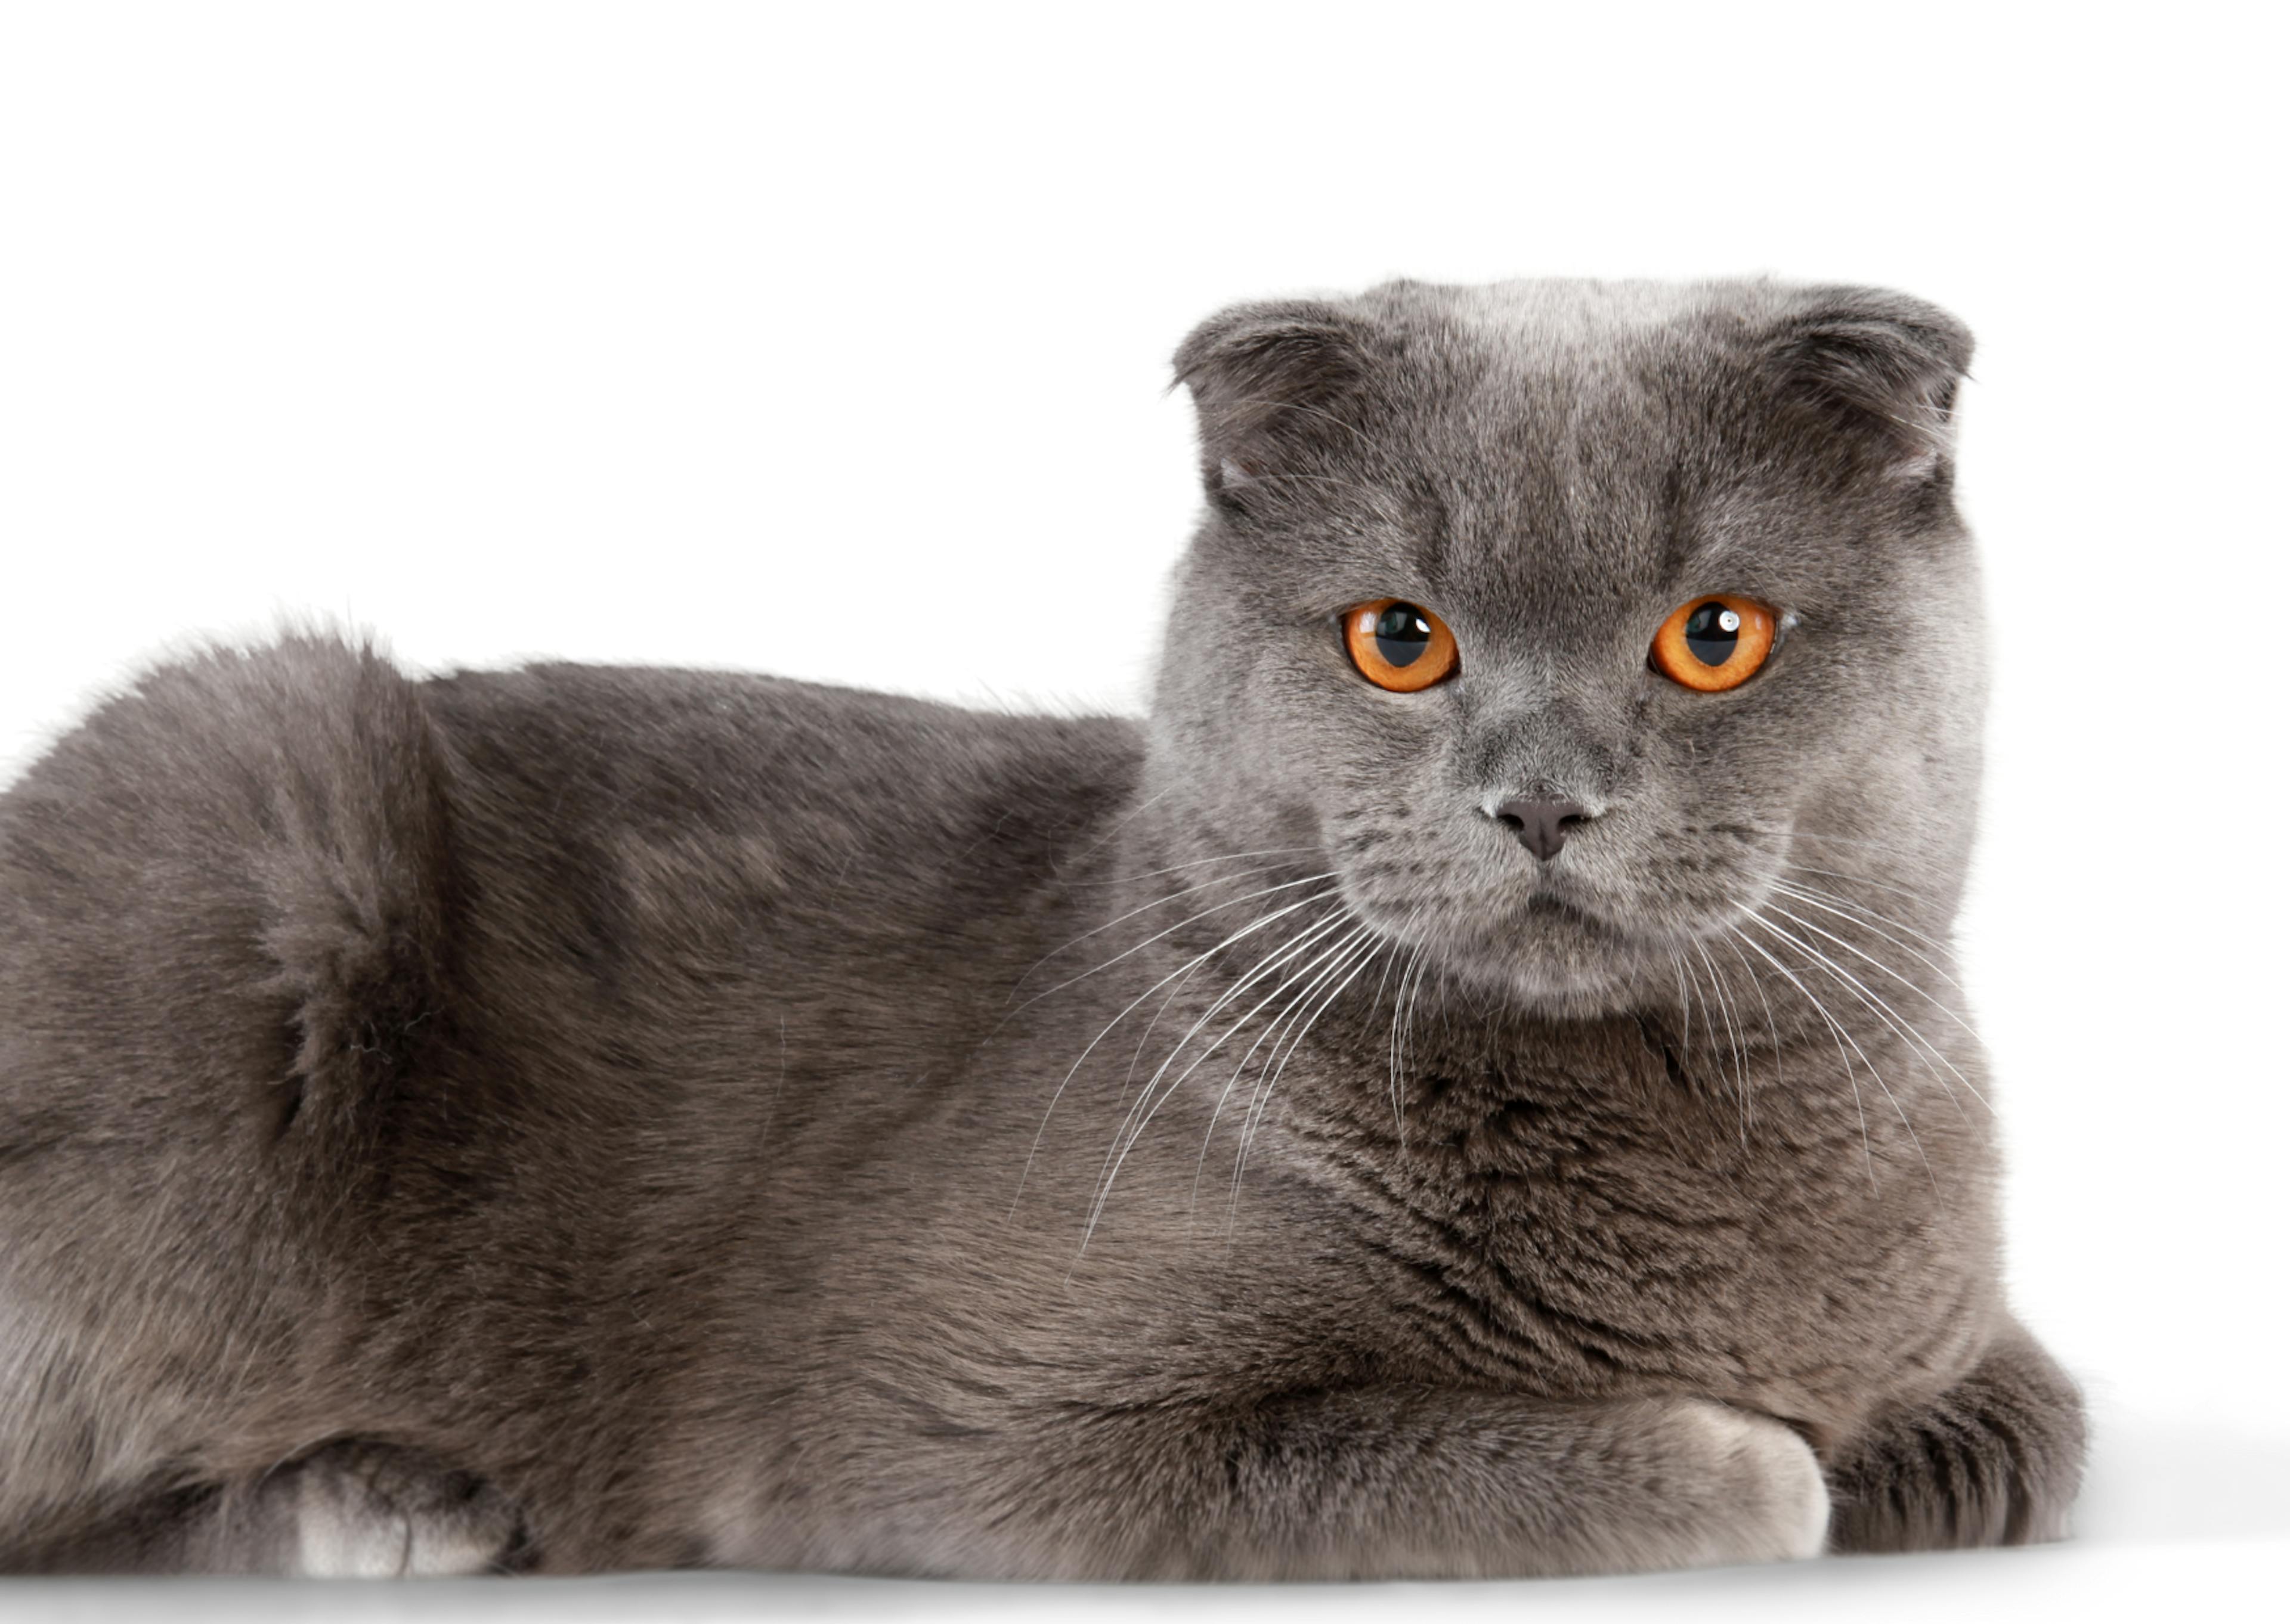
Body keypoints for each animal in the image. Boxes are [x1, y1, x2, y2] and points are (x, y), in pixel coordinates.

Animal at [0, 275, 2088, 1566]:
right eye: (1399, 640)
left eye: (1713, 635)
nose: (1540, 797)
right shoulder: (961, 1416)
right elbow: (1598, 1460)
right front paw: (1753, 1451)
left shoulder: (1979, 1345)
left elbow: (2028, 1423)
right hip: (263, 816)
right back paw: (381, 1497)